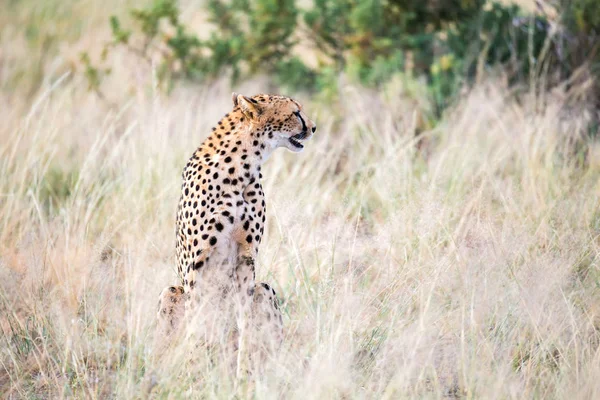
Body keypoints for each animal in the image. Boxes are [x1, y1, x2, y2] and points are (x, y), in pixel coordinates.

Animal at [157, 93, 318, 362]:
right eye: (295, 112)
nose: (314, 128)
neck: (241, 169)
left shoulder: (246, 257)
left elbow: (245, 319)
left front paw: (244, 365)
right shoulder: (198, 262)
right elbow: (197, 319)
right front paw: (194, 365)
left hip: (264, 288)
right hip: (170, 291)